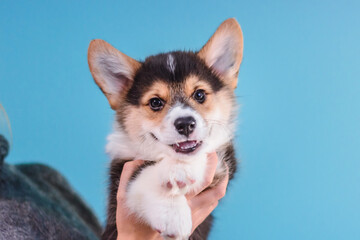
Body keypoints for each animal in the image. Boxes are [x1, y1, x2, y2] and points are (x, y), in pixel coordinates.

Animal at [88, 17, 243, 239]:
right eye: (155, 102)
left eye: (199, 94)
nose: (185, 124)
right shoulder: (119, 176)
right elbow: (140, 174)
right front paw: (172, 212)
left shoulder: (224, 166)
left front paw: (182, 168)